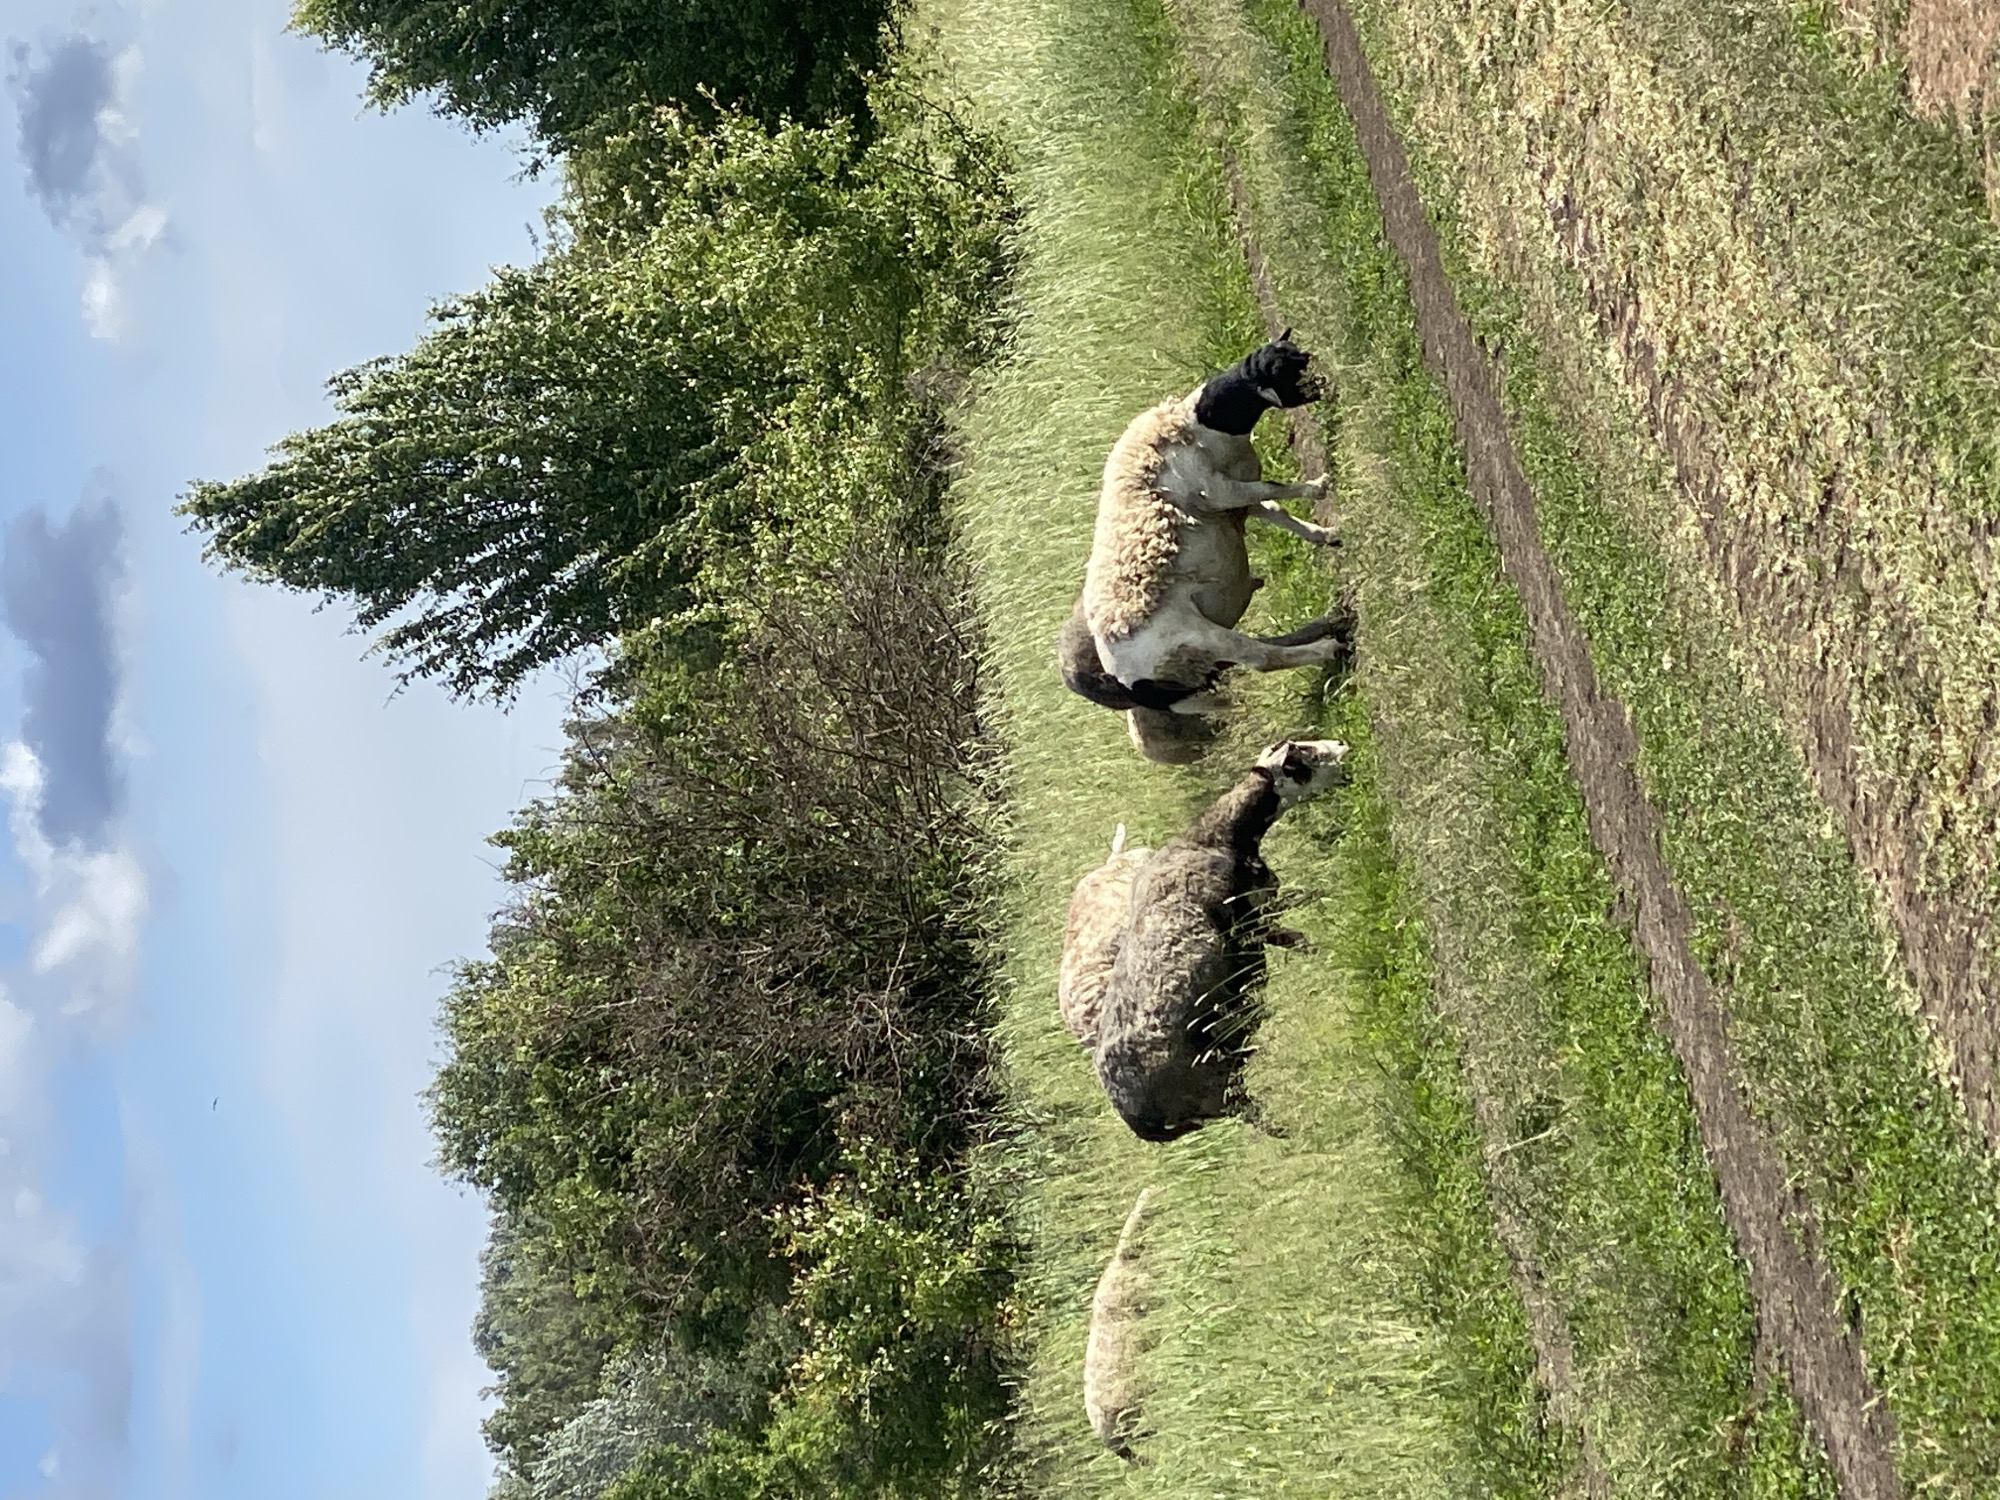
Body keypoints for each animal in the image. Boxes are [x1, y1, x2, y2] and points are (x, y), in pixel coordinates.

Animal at [1079, 336, 1347, 713]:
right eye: (1290, 371)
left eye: (1299, 354)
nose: (1328, 380)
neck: (1203, 423)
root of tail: (1129, 684)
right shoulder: (1218, 491)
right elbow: (1272, 489)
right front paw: (1320, 486)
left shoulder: (1230, 499)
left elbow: (1274, 506)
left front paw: (1327, 534)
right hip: (1196, 637)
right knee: (1261, 657)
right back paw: (1328, 648)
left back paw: (1327, 623)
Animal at [1093, 739, 1348, 1141]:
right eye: (1300, 756)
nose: (1341, 744)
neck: (1214, 839)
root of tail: (1131, 1114)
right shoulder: (1249, 922)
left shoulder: (1263, 913)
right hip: (1216, 1084)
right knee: (1256, 1115)